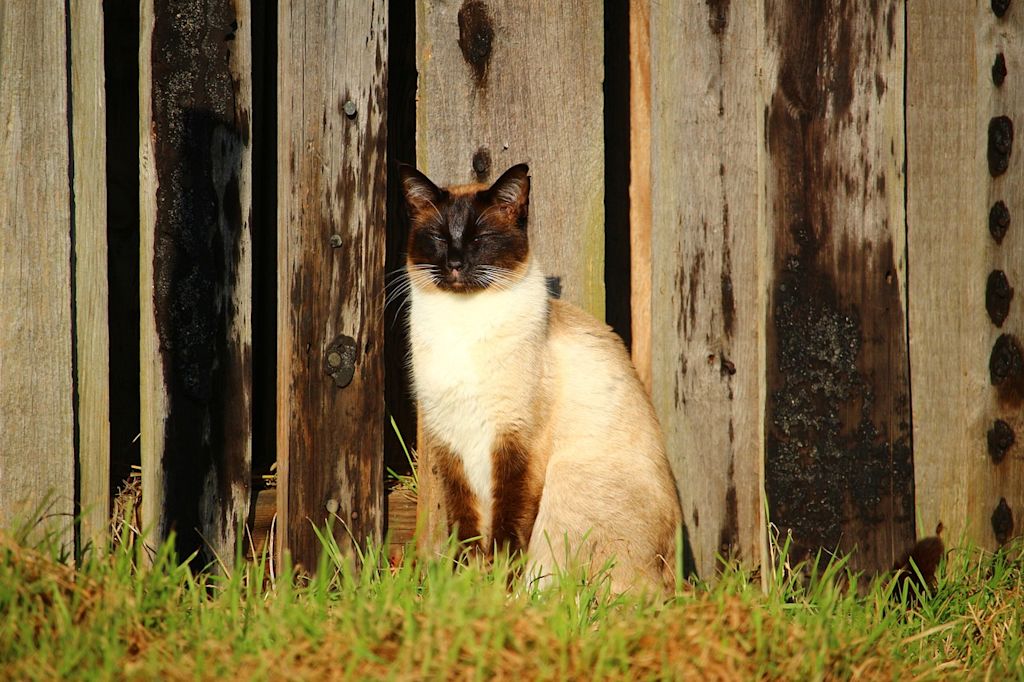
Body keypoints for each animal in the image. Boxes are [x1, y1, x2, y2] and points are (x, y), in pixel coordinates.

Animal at [397, 160, 679, 589]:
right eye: (439, 238)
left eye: (481, 238)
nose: (456, 264)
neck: (463, 322)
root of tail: (672, 583)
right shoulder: (451, 440)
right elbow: (467, 527)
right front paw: (465, 589)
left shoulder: (516, 440)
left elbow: (508, 526)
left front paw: (499, 590)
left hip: (566, 481)